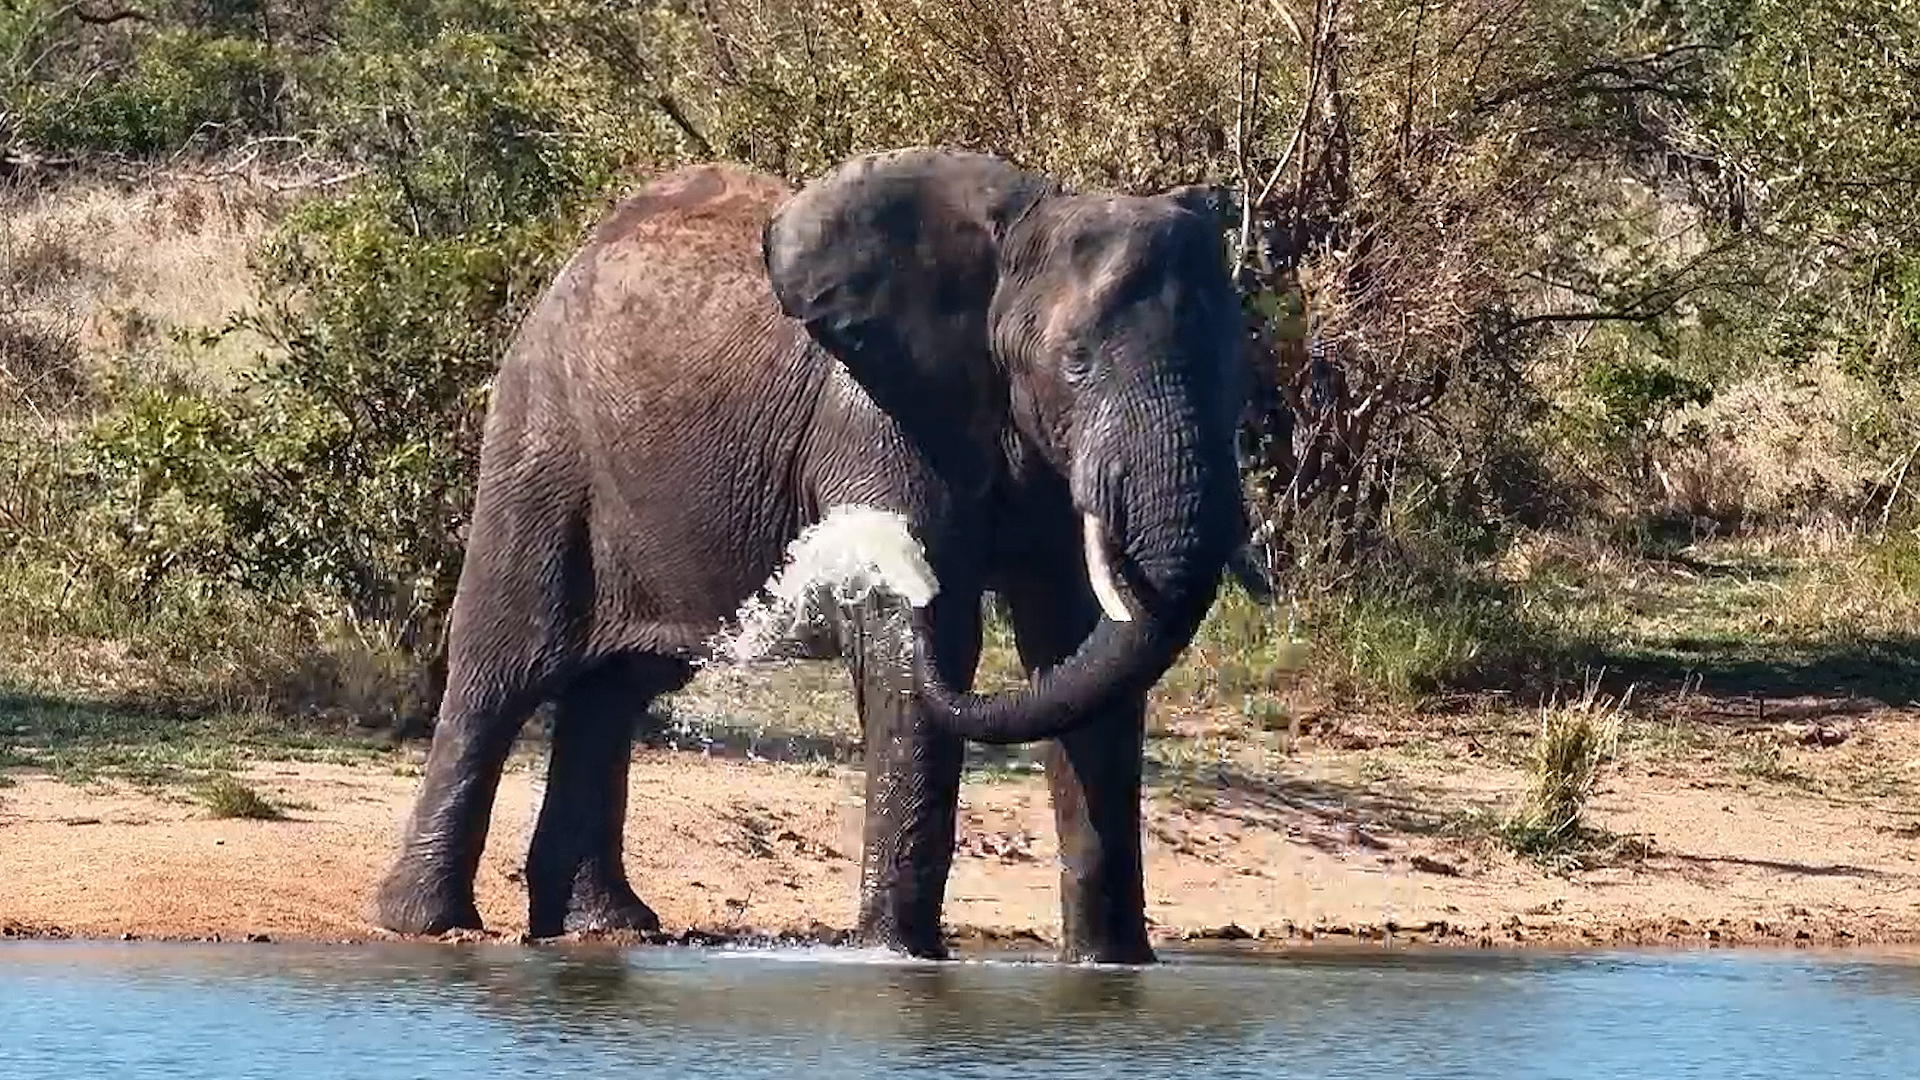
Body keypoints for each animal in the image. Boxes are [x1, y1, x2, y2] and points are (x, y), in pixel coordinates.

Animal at [372, 147, 1255, 964]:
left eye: (1237, 370)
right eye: (1075, 364)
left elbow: (1078, 644)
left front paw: (1111, 970)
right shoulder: (876, 419)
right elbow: (919, 648)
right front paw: (895, 957)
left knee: (613, 695)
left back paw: (607, 927)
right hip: (541, 443)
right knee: (499, 669)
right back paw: (429, 925)